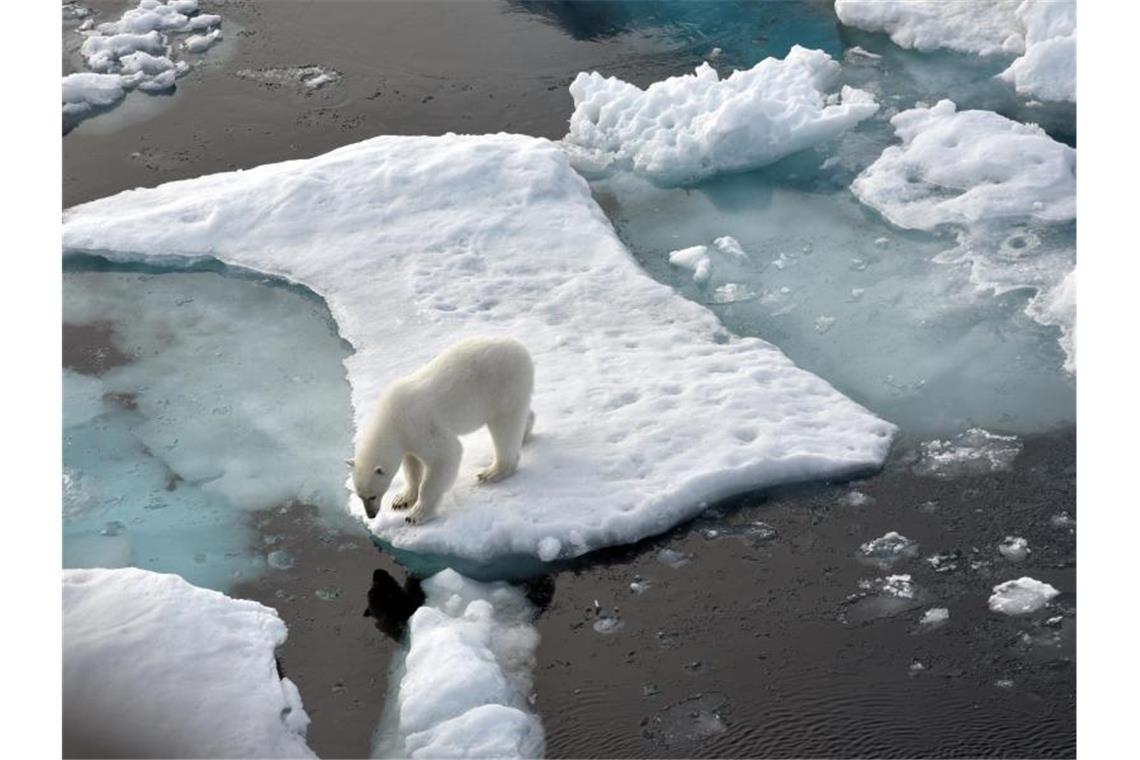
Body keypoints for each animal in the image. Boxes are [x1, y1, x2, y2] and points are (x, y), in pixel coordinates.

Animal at [348, 337, 535, 524]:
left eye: (372, 495)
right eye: (359, 495)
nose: (371, 515)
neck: (392, 418)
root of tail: (520, 348)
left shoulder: (420, 425)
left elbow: (445, 455)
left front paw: (416, 514)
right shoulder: (407, 437)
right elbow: (411, 464)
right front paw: (402, 499)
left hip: (503, 386)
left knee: (505, 426)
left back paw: (493, 472)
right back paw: (525, 432)